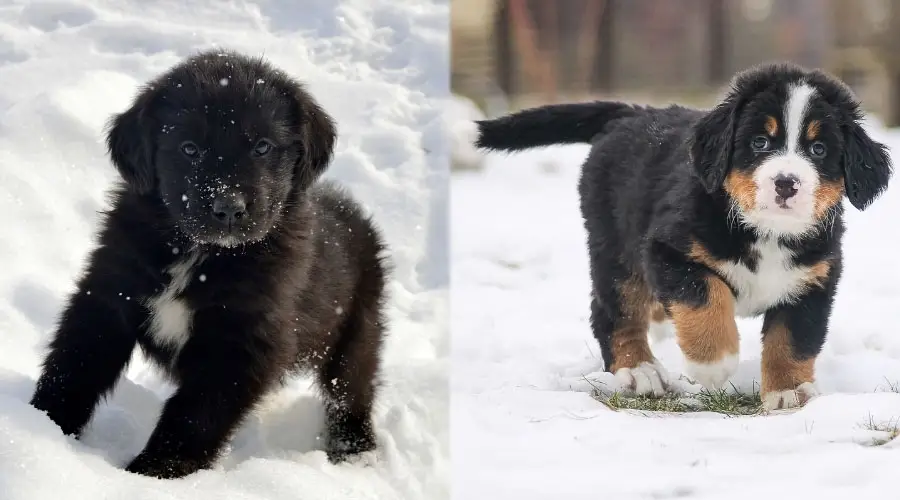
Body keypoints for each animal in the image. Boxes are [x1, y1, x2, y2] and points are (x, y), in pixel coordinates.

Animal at [29, 48, 388, 478]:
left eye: (262, 146)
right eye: (189, 148)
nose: (228, 207)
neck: (198, 254)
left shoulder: (241, 342)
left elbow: (195, 414)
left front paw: (155, 471)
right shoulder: (108, 293)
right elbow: (75, 363)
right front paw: (41, 422)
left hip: (358, 328)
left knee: (352, 390)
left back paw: (355, 451)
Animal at [474, 62, 888, 410]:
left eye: (818, 149)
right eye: (760, 143)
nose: (786, 182)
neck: (766, 233)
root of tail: (632, 113)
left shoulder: (814, 281)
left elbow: (793, 340)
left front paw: (789, 391)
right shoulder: (669, 251)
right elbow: (706, 299)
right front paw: (714, 365)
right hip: (616, 250)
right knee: (614, 311)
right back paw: (639, 370)